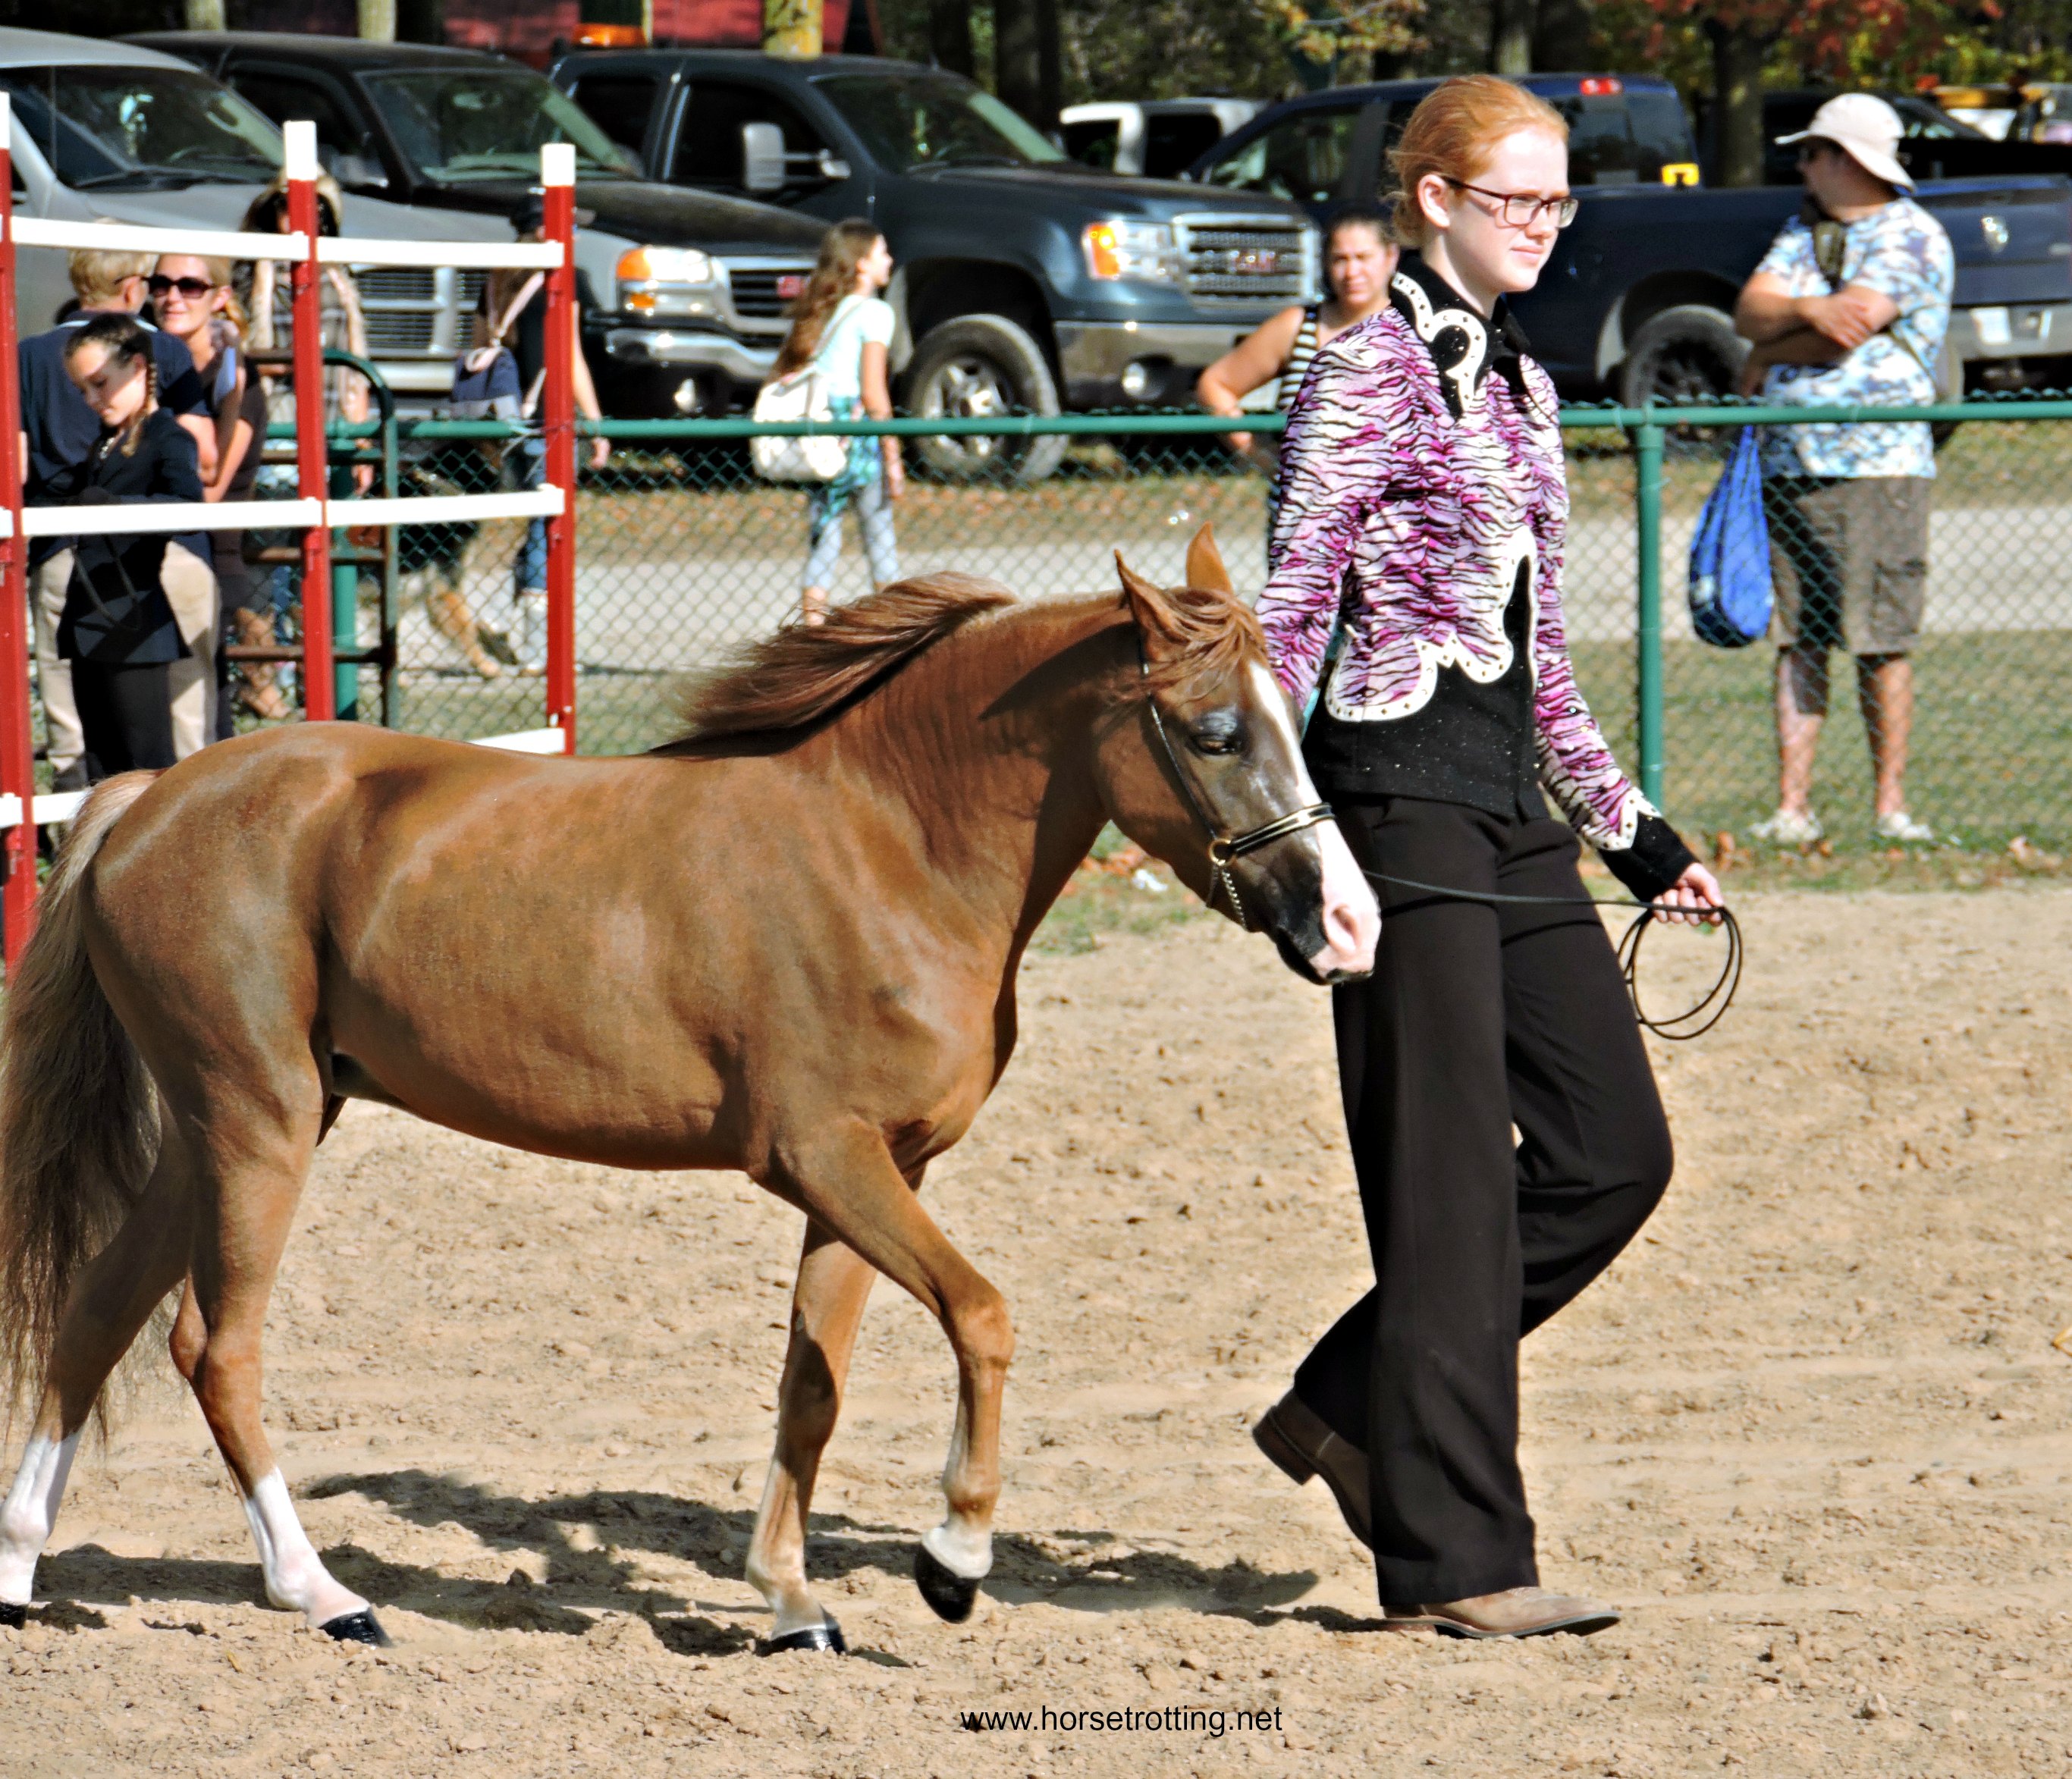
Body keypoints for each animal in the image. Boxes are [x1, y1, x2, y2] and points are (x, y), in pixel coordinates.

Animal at [0, 526, 1377, 1652]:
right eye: (1215, 732)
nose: (1349, 925)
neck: (888, 849)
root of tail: (145, 801)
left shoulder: (877, 1173)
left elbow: (812, 1385)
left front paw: (790, 1600)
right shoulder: (826, 1158)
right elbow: (983, 1317)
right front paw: (953, 1559)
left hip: (216, 1134)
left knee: (95, 1318)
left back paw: (21, 1572)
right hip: (258, 1128)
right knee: (214, 1346)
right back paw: (323, 1594)